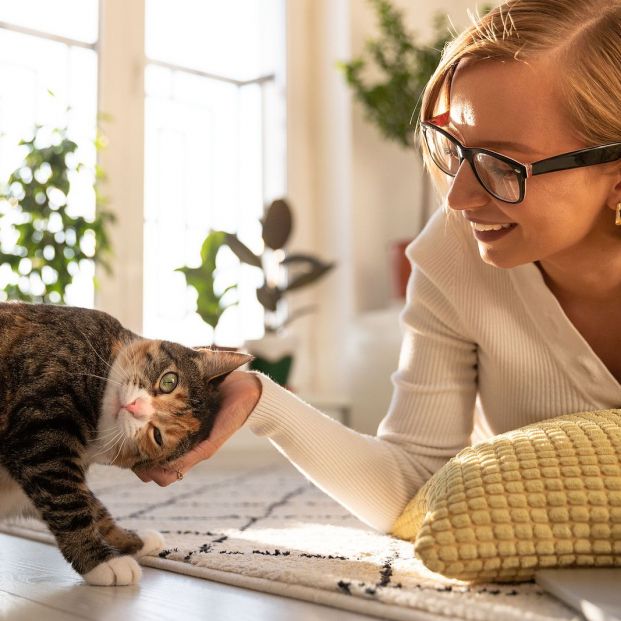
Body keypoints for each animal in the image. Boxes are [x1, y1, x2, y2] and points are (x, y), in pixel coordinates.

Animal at [1, 302, 252, 584]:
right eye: (169, 381)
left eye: (157, 436)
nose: (134, 407)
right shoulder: (41, 437)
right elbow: (69, 503)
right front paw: (102, 562)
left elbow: (93, 505)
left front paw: (135, 540)